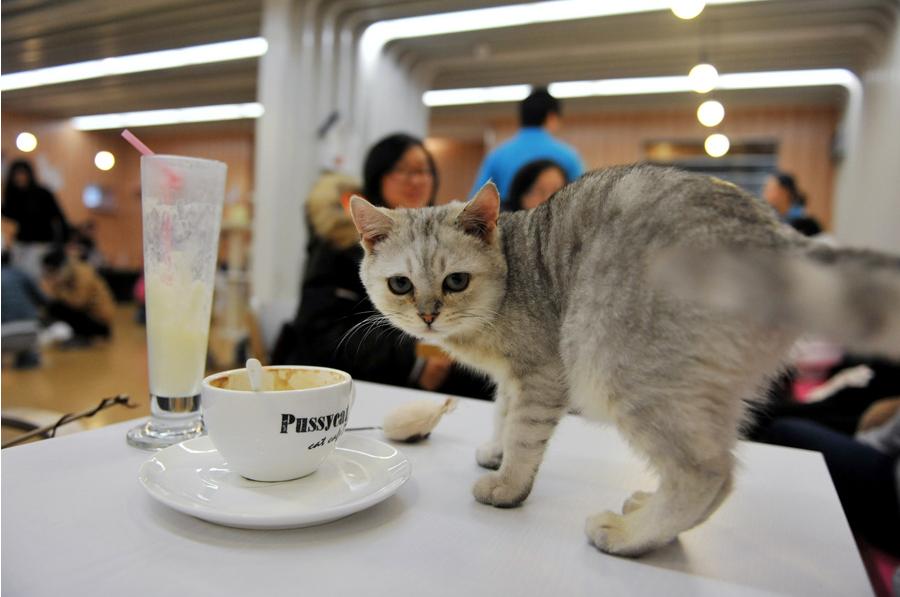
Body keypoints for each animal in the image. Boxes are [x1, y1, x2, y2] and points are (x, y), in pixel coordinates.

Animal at [346, 163, 900, 556]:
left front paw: (508, 483)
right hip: (705, 394)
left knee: (706, 475)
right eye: (401, 285)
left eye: (455, 281)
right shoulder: (514, 377)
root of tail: (783, 242)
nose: (428, 316)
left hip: (616, 366)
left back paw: (628, 536)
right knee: (717, 475)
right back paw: (645, 514)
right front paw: (495, 450)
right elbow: (504, 413)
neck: (513, 273)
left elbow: (524, 434)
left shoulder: (543, 374)